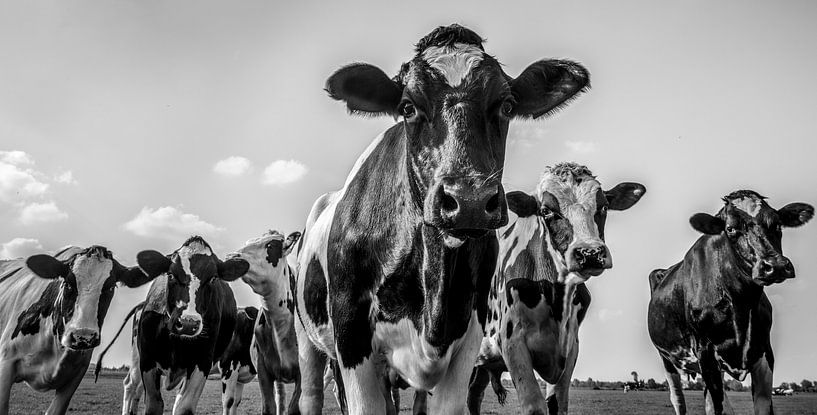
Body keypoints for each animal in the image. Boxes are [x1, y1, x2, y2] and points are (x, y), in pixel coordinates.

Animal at [130, 235, 250, 415]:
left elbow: (184, 407)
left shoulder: (202, 362)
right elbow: (154, 405)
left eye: (213, 278)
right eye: (171, 275)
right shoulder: (147, 360)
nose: (188, 323)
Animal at [295, 24, 590, 415]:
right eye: (408, 106)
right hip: (308, 341)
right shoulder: (351, 337)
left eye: (506, 105)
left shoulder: (468, 340)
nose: (469, 200)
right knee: (311, 393)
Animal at [467, 162, 646, 415]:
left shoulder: (570, 348)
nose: (590, 253)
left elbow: (558, 405)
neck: (556, 296)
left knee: (474, 396)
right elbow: (535, 406)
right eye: (546, 210)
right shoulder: (512, 342)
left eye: (604, 206)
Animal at [648, 190, 813, 415]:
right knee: (678, 400)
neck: (741, 303)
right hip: (667, 359)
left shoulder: (764, 352)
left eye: (778, 224)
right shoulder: (705, 351)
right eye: (731, 229)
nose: (776, 265)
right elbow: (716, 405)